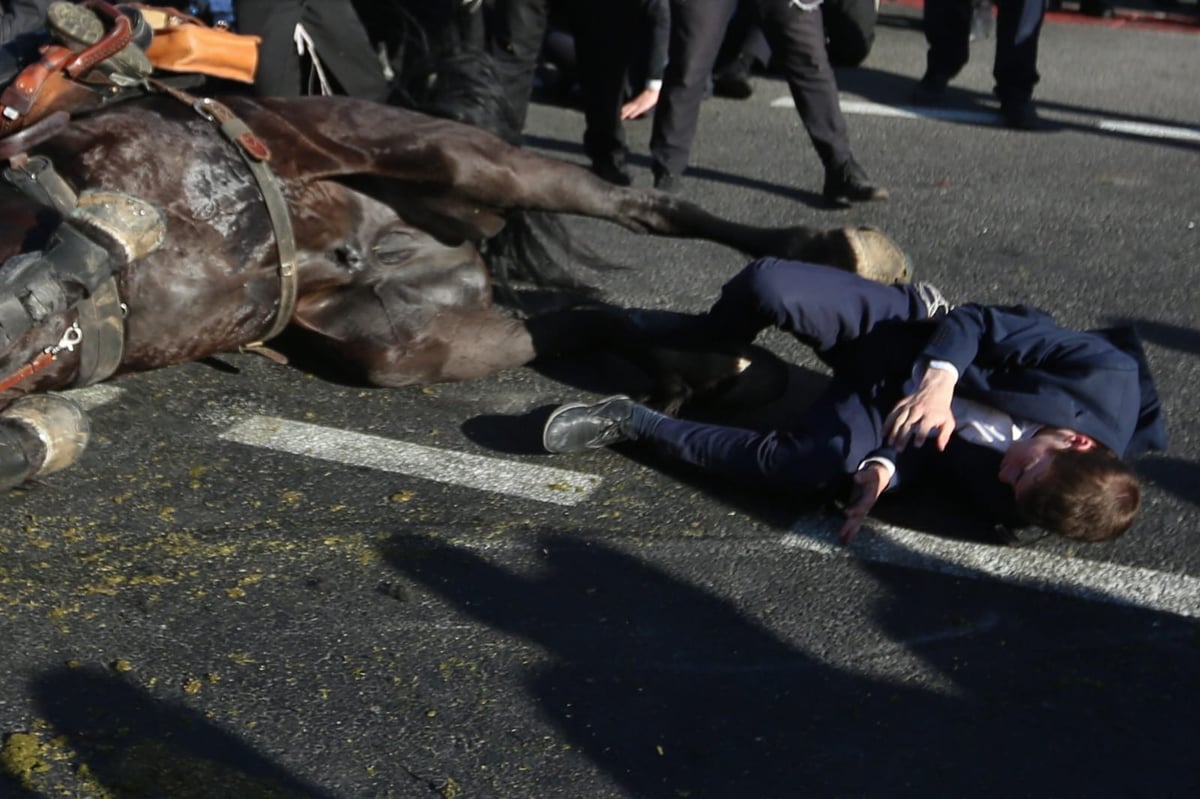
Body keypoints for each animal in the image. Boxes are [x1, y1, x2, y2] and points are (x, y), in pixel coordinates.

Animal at [0, 94, 902, 484]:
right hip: (398, 339)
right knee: (588, 316)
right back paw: (712, 367)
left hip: (453, 155)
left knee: (646, 210)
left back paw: (841, 249)